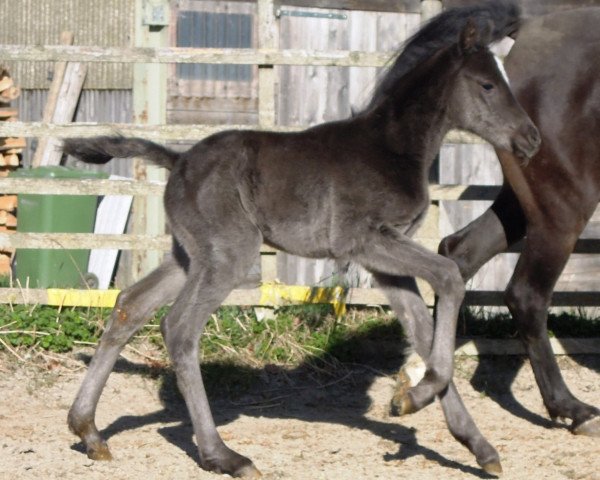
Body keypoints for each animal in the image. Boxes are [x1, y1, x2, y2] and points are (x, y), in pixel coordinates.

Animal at [62, 2, 540, 476]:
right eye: (487, 84)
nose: (531, 139)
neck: (391, 148)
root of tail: (177, 159)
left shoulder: (385, 263)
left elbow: (423, 329)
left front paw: (471, 441)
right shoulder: (364, 241)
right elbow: (450, 276)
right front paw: (416, 398)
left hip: (191, 256)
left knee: (130, 305)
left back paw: (89, 431)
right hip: (229, 255)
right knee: (179, 327)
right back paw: (223, 455)